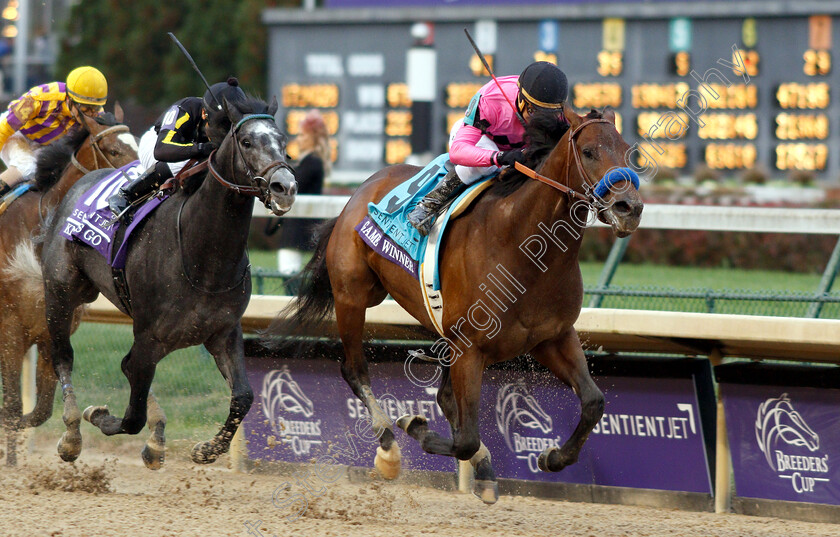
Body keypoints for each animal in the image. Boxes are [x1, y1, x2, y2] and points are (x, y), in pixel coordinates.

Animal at [29, 97, 296, 468]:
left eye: (282, 141)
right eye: (246, 141)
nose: (285, 187)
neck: (204, 258)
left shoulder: (223, 332)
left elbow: (243, 396)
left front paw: (207, 449)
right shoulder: (150, 335)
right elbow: (132, 415)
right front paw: (98, 415)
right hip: (61, 292)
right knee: (62, 356)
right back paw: (71, 436)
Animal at [276, 105, 644, 502]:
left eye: (628, 152)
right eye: (589, 152)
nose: (630, 208)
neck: (523, 246)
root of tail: (362, 188)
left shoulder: (552, 337)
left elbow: (593, 401)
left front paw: (552, 457)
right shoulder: (470, 347)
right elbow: (465, 437)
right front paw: (413, 424)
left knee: (443, 396)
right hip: (353, 295)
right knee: (355, 370)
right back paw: (389, 447)